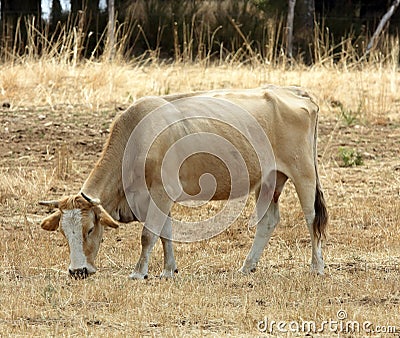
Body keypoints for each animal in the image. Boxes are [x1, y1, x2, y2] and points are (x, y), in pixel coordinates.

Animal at [39, 85, 328, 280]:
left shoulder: (159, 193)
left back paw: (317, 267)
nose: (77, 271)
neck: (136, 139)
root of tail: (294, 91)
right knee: (268, 221)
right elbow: (165, 233)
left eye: (89, 229)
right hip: (270, 179)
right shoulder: (160, 197)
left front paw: (139, 272)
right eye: (63, 232)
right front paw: (169, 270)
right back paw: (248, 266)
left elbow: (148, 235)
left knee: (311, 217)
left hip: (303, 172)